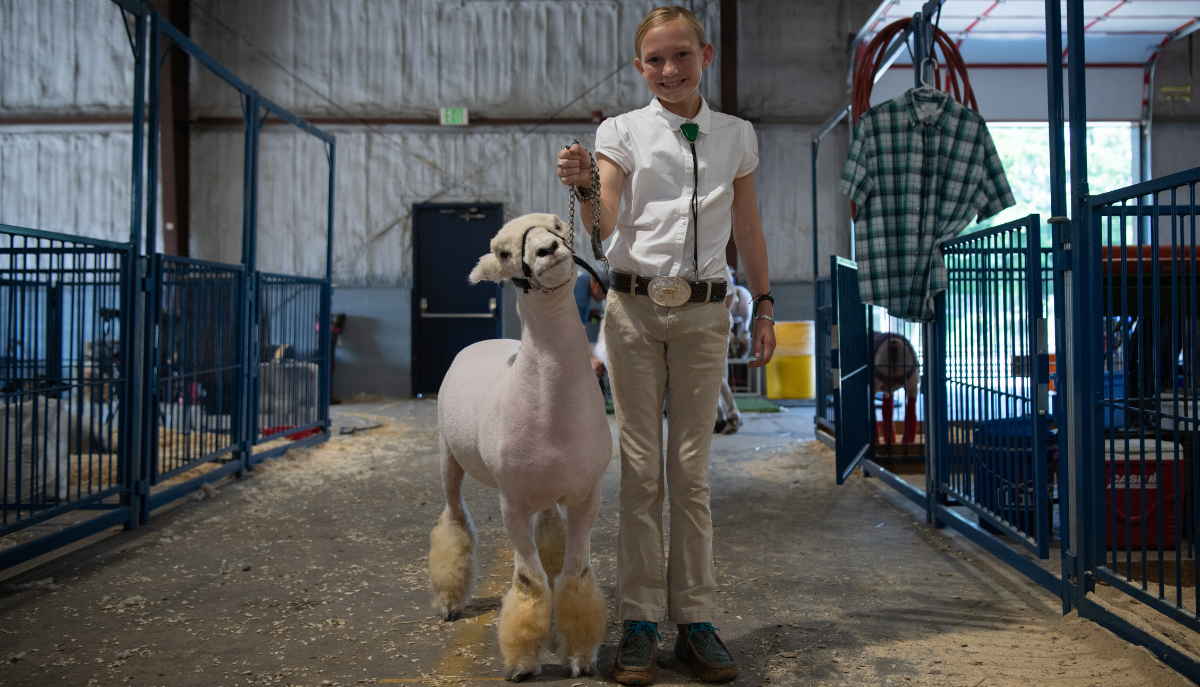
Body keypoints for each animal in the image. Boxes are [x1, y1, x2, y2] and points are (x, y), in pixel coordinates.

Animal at [429, 213, 611, 682]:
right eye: (503, 251)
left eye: (558, 225)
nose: (548, 249)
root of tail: (487, 342)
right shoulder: (511, 502)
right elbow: (530, 581)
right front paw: (523, 662)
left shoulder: (588, 496)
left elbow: (575, 572)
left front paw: (580, 656)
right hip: (448, 455)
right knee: (453, 518)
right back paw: (450, 601)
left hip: (545, 488)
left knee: (548, 531)